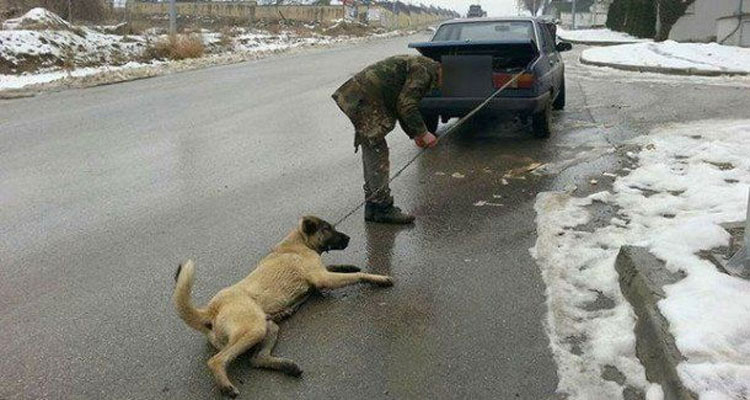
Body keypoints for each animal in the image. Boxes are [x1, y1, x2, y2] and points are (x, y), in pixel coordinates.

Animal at [171, 217, 394, 398]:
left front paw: (348, 266)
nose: (348, 238)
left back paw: (288, 366)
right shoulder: (322, 278)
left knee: (257, 359)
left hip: (268, 327)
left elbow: (336, 267)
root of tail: (211, 309)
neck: (298, 242)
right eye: (327, 228)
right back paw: (226, 386)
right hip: (254, 328)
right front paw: (379, 278)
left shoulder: (321, 274)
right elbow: (357, 276)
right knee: (217, 360)